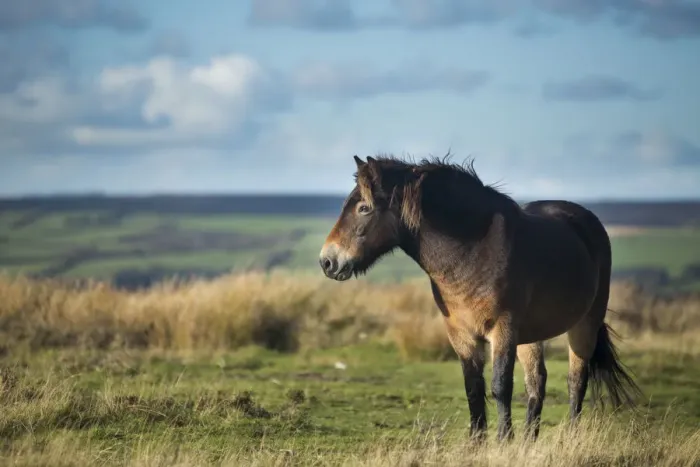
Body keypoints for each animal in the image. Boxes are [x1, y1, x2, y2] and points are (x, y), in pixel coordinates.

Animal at [318, 154, 642, 442]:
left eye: (364, 208)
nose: (327, 261)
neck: (471, 254)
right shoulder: (461, 334)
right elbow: (473, 388)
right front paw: (477, 443)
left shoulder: (503, 330)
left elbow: (500, 386)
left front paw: (503, 440)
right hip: (531, 336)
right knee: (537, 381)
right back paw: (529, 441)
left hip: (584, 324)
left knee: (576, 381)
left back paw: (569, 437)